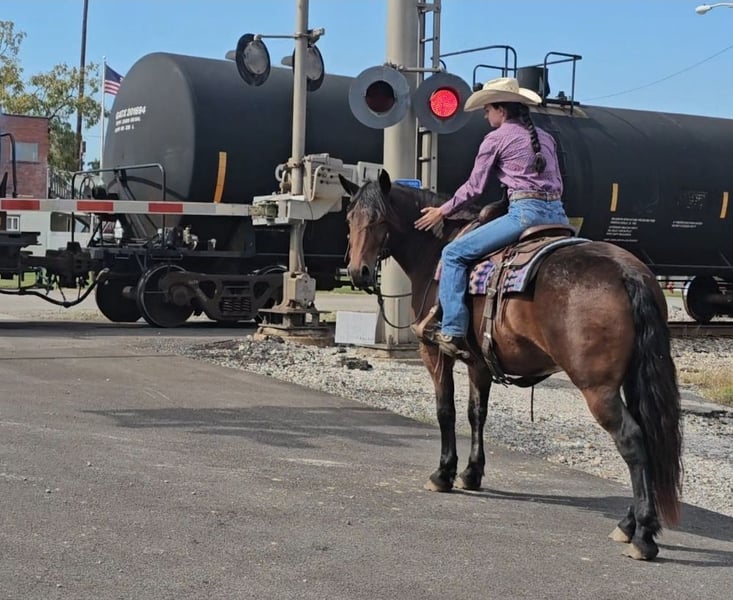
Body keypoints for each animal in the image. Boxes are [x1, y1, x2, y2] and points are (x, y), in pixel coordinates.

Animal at [339, 170, 683, 561]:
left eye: (379, 220)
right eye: (349, 219)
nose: (358, 272)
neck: (435, 252)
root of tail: (628, 272)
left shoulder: (435, 353)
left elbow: (446, 411)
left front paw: (443, 473)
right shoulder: (479, 362)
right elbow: (476, 413)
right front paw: (471, 473)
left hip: (598, 388)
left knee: (632, 440)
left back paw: (643, 535)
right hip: (629, 379)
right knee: (647, 438)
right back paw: (629, 524)